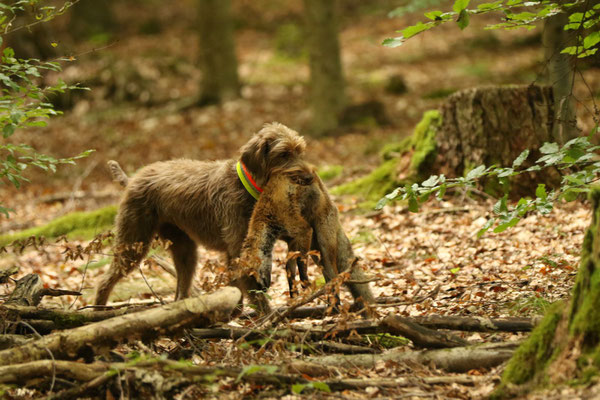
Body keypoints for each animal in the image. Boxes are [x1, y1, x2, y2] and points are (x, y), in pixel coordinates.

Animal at [94, 122, 312, 310]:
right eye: (283, 154)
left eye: (300, 151)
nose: (310, 178)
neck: (246, 186)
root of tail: (132, 180)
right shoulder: (240, 251)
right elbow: (254, 292)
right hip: (132, 244)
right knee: (104, 281)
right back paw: (97, 311)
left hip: (185, 250)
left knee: (180, 291)